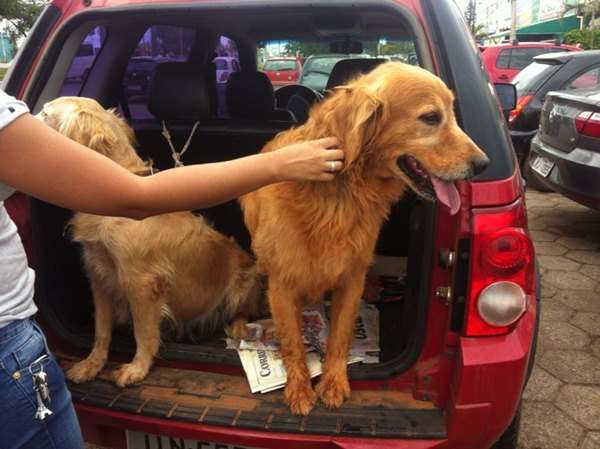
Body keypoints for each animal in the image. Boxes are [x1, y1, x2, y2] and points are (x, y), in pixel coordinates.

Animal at [38, 97, 260, 384]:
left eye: (44, 113)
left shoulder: (141, 283)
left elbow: (143, 333)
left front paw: (137, 368)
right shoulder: (99, 277)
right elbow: (101, 329)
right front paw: (92, 363)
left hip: (243, 284)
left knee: (243, 311)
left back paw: (240, 327)